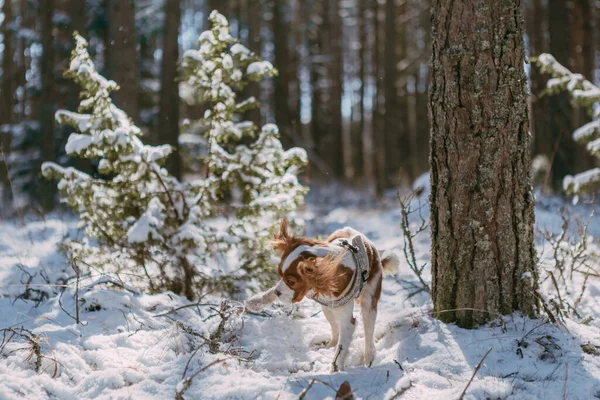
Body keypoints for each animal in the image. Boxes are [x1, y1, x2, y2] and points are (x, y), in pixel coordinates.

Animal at [246, 219, 396, 372]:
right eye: (280, 275)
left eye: (291, 282)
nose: (278, 292)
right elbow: (270, 291)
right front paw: (256, 301)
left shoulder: (348, 322)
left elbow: (341, 349)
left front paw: (336, 371)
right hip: (327, 309)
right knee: (335, 332)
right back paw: (329, 345)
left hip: (368, 301)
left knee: (368, 332)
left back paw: (368, 356)